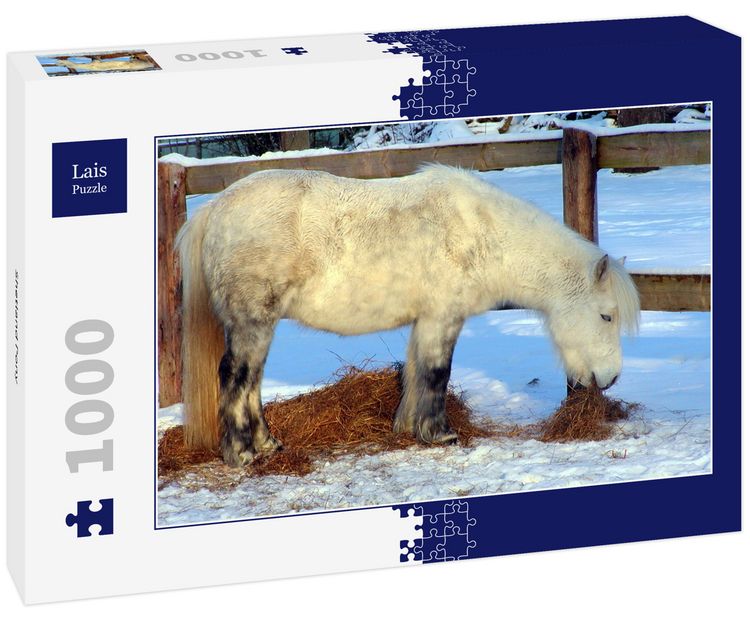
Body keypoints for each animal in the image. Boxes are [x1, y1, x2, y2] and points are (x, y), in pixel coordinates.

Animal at [176, 164, 640, 467]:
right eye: (606, 317)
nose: (611, 377)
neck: (482, 234)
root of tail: (215, 209)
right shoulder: (443, 318)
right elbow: (436, 373)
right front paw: (442, 433)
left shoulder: (427, 321)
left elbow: (417, 371)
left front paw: (411, 429)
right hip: (252, 323)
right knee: (236, 378)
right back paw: (243, 453)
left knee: (251, 382)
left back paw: (268, 444)